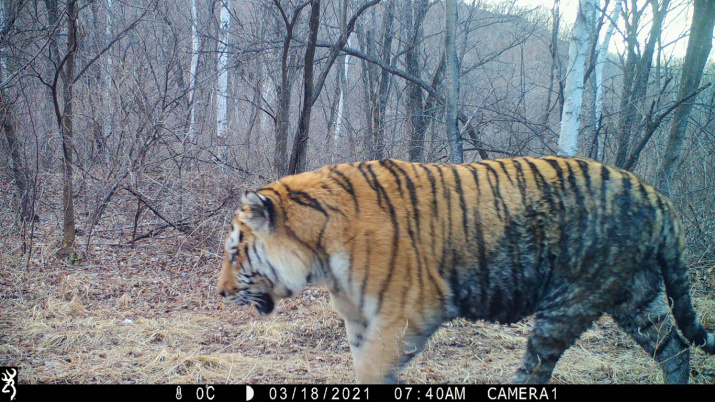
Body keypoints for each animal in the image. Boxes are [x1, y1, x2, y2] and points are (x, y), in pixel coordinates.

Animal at [217, 156, 715, 384]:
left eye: (235, 252)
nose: (220, 293)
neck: (320, 254)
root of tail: (657, 196)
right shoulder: (360, 321)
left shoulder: (403, 317)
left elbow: (374, 371)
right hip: (638, 298)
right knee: (674, 349)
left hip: (569, 303)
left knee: (536, 369)